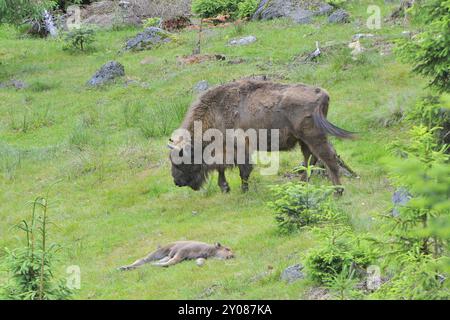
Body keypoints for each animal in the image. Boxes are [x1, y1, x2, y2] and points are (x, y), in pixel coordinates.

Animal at [167, 79, 354, 194]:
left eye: (181, 161)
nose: (176, 181)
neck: (216, 112)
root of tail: (322, 93)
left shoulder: (240, 149)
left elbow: (243, 171)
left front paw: (243, 191)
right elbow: (222, 168)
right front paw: (225, 188)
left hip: (313, 136)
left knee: (327, 158)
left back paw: (338, 191)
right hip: (304, 140)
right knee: (311, 159)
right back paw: (302, 185)